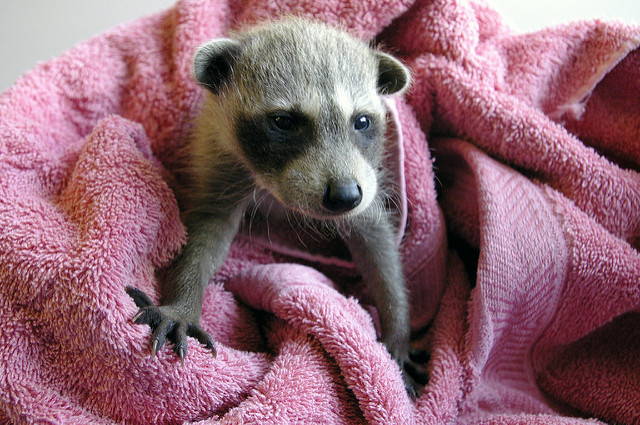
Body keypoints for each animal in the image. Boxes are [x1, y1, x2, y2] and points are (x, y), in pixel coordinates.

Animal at [125, 18, 424, 392]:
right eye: (283, 121)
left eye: (362, 121)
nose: (344, 196)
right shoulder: (221, 156)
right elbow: (208, 229)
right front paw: (182, 300)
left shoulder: (364, 177)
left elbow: (375, 241)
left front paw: (397, 324)